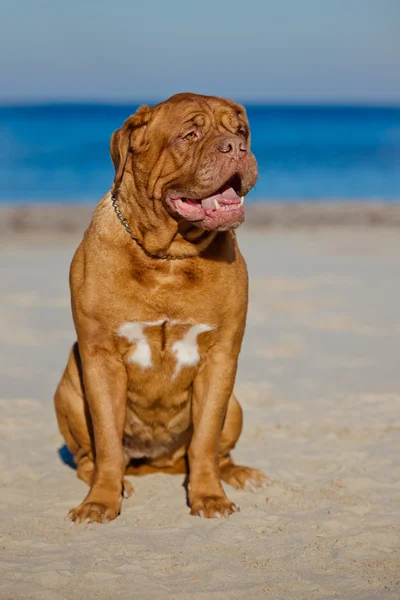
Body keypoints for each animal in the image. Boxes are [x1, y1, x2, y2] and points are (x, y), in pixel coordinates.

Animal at [53, 91, 266, 524]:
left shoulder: (221, 358)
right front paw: (101, 501)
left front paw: (209, 497)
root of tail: (159, 461)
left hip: (234, 406)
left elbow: (205, 440)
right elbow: (107, 441)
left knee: (217, 451)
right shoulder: (100, 358)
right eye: (190, 134)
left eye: (240, 132)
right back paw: (119, 483)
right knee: (88, 458)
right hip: (69, 387)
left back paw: (240, 474)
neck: (171, 256)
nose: (236, 148)